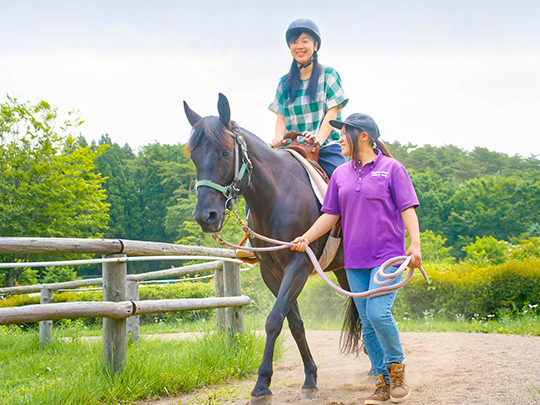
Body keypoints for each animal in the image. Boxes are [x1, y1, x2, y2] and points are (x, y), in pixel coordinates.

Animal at [185, 93, 358, 402]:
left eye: (225, 153)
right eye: (194, 156)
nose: (206, 216)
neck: (278, 196)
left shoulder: (299, 264)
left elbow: (275, 319)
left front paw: (261, 384)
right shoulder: (271, 272)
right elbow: (294, 323)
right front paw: (309, 378)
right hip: (342, 270)